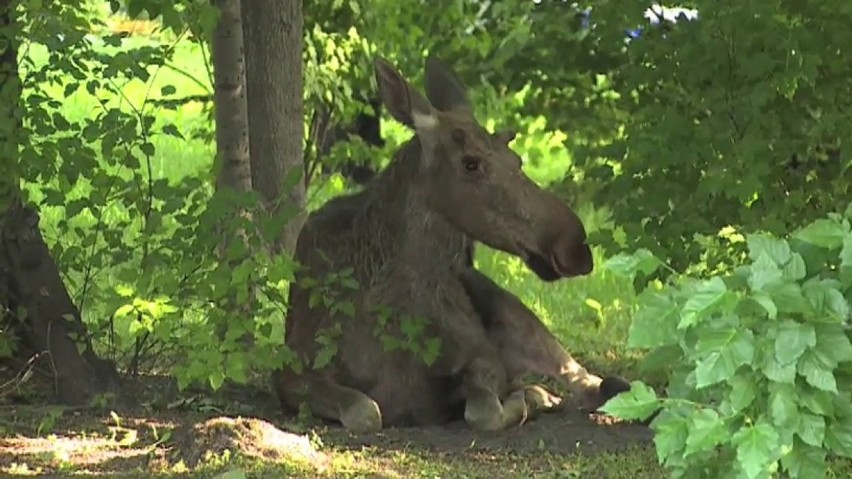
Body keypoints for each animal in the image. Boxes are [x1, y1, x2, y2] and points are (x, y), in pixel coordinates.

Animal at [274, 54, 632, 434]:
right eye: (471, 163)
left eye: (516, 160)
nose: (574, 243)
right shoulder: (292, 371)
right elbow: (366, 411)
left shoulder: (482, 355)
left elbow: (484, 410)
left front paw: (522, 401)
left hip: (516, 312)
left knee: (585, 378)